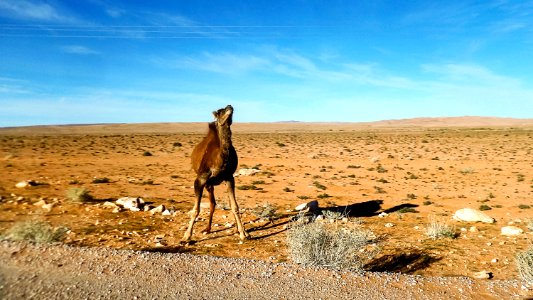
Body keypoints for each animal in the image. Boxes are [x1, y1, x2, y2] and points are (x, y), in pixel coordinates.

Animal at [182, 104, 250, 243]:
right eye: (220, 111)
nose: (230, 106)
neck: (220, 159)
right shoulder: (200, 180)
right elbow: (196, 209)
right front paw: (187, 236)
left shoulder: (229, 178)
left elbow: (234, 206)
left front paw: (243, 233)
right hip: (208, 183)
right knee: (212, 203)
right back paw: (207, 229)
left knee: (215, 203)